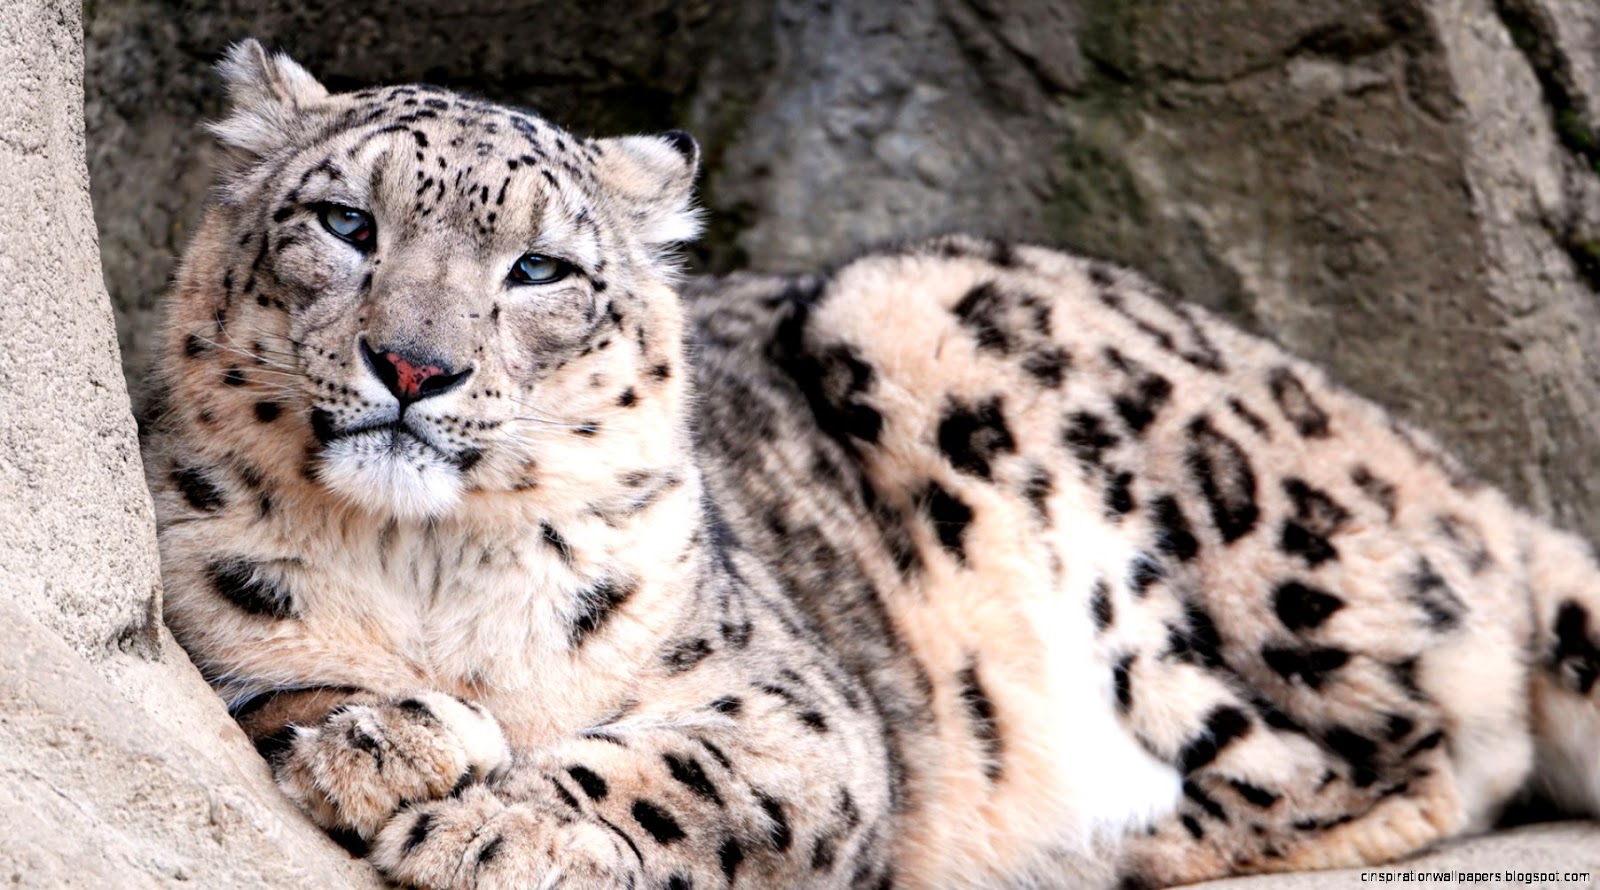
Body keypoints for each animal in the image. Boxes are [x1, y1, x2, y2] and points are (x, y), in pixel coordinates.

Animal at [141, 39, 1600, 889]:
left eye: (539, 268)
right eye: (346, 222)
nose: (414, 365)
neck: (426, 562)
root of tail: (1451, 474)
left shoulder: (796, 702)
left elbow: (689, 764)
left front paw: (502, 825)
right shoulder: (203, 613)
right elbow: (269, 687)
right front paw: (384, 740)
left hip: (987, 361)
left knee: (1410, 750)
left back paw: (1128, 836)